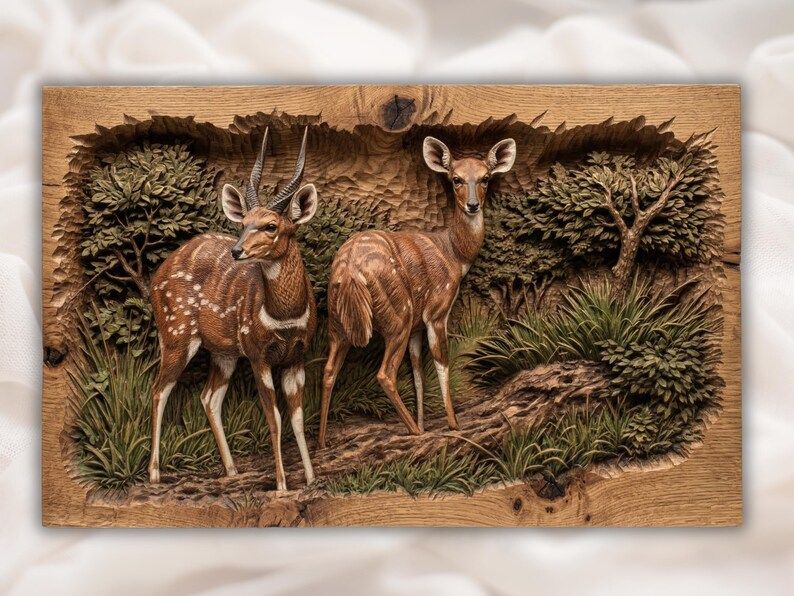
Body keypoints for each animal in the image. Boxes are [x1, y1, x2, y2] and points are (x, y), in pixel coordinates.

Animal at [147, 127, 318, 491]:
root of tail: (156, 278)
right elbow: (274, 417)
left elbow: (297, 417)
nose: (237, 251)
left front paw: (312, 478)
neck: (285, 316)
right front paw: (282, 484)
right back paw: (154, 473)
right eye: (244, 223)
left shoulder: (296, 357)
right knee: (159, 389)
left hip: (223, 352)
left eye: (271, 226)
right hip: (176, 335)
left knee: (208, 397)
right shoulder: (257, 353)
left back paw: (231, 469)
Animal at [317, 136, 516, 448]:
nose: (473, 205)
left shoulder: (416, 327)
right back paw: (413, 431)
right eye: (456, 179)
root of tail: (349, 270)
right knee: (385, 374)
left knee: (328, 371)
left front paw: (426, 421)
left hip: (337, 322)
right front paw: (453, 424)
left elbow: (417, 370)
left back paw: (322, 443)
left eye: (485, 178)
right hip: (397, 314)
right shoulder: (436, 310)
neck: (454, 254)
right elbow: (441, 361)